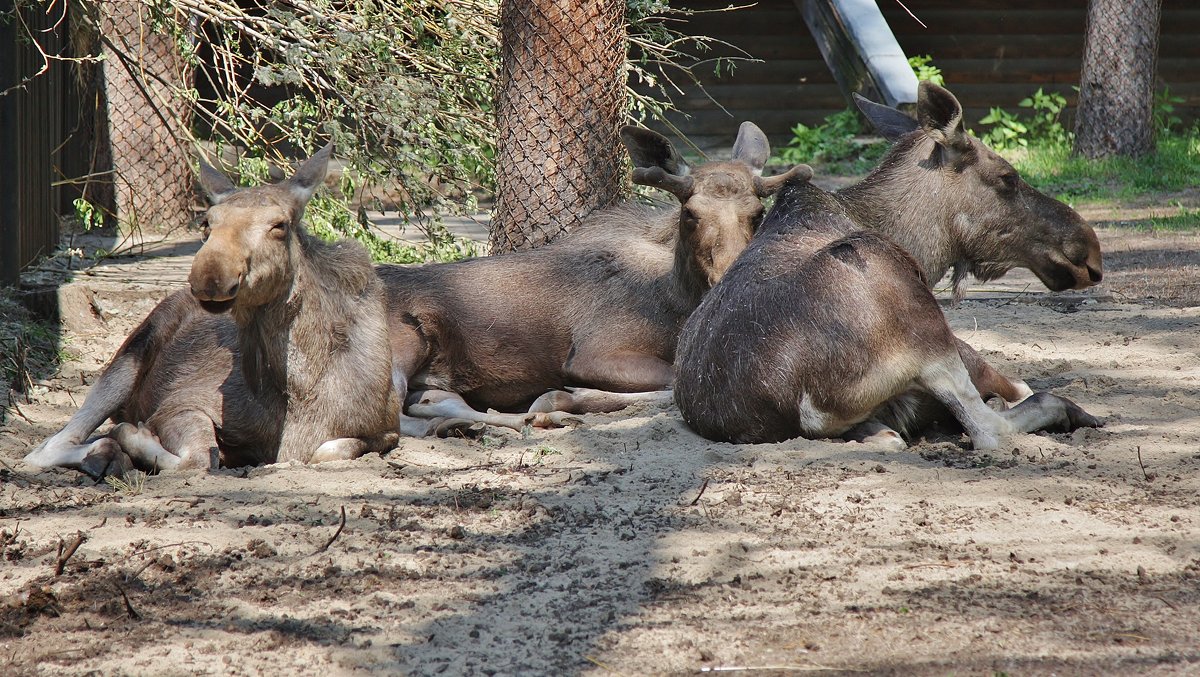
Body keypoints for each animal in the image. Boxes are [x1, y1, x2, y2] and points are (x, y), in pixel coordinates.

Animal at [24, 144, 398, 475]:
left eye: (279, 225)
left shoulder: (386, 429)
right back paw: (106, 452)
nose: (210, 275)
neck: (298, 391)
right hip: (127, 359)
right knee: (45, 449)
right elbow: (197, 458)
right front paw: (133, 433)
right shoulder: (181, 403)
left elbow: (330, 449)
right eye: (207, 222)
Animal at [372, 121, 806, 434]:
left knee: (432, 404)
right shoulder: (593, 352)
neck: (678, 301)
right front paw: (566, 397)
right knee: (396, 420)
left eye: (758, 213)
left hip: (429, 376)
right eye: (690, 213)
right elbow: (670, 382)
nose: (727, 279)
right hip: (402, 346)